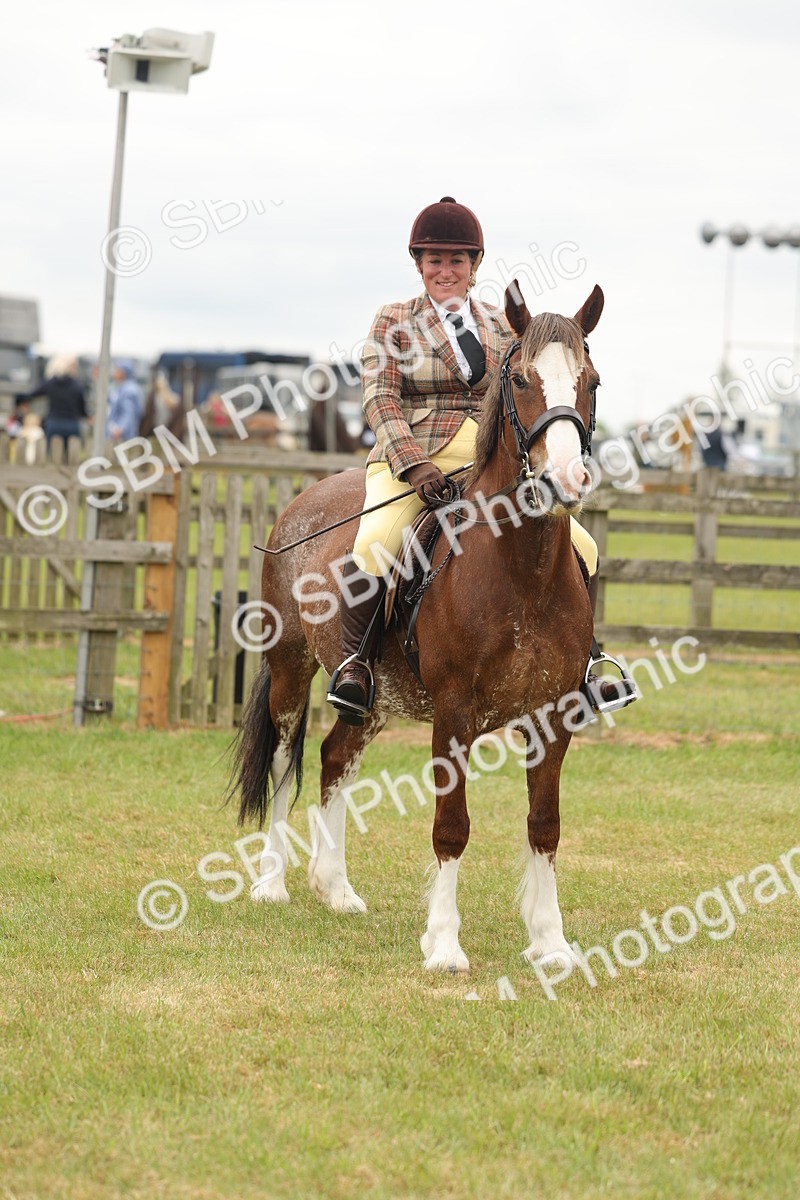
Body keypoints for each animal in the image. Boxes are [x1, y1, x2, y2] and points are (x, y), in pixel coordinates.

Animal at [228, 282, 604, 972]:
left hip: (376, 697)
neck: (521, 568)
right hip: (291, 667)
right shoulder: (453, 712)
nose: (566, 480)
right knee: (288, 759)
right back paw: (271, 883)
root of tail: (303, 500)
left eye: (590, 380)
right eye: (522, 379)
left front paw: (550, 942)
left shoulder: (553, 713)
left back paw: (336, 888)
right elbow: (451, 827)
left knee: (335, 757)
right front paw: (445, 944)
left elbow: (545, 824)